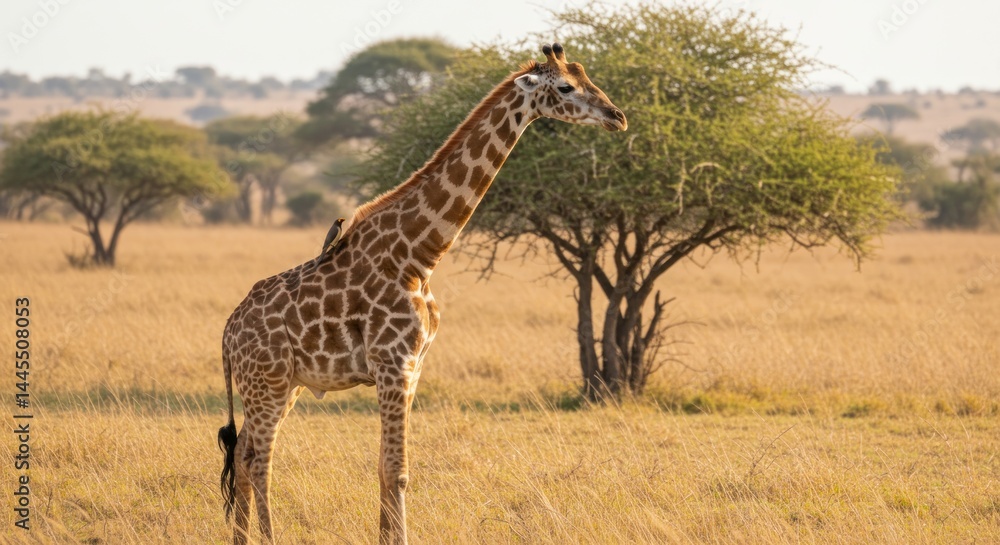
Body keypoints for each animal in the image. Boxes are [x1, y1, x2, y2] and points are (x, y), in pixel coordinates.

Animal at [217, 43, 627, 545]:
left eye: (587, 77)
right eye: (567, 87)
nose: (617, 116)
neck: (419, 256)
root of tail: (227, 333)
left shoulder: (413, 367)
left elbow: (385, 469)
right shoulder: (394, 364)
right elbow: (397, 471)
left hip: (284, 384)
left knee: (242, 454)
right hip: (268, 383)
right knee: (259, 460)